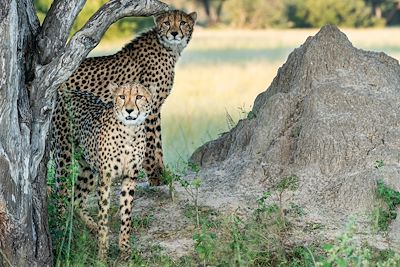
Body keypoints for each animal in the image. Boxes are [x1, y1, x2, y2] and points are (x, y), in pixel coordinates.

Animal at [53, 9, 197, 191]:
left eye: (183, 22)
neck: (168, 48)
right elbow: (152, 145)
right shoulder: (149, 111)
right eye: (167, 22)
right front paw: (155, 177)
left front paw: (162, 175)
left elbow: (158, 144)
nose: (174, 33)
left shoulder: (153, 109)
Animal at [58, 82, 152, 260]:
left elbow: (126, 214)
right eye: (122, 96)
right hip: (63, 160)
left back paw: (90, 226)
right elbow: (103, 216)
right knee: (61, 195)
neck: (129, 132)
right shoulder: (105, 179)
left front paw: (124, 248)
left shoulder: (130, 178)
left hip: (88, 169)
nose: (129, 110)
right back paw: (59, 230)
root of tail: (69, 91)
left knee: (76, 199)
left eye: (139, 97)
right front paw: (102, 253)